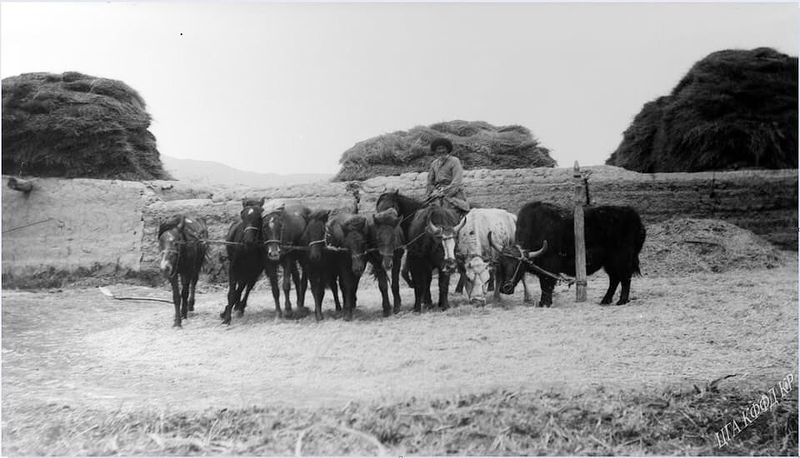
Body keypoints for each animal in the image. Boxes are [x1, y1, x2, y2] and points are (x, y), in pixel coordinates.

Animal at [495, 201, 646, 307]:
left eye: (517, 264)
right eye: (502, 264)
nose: (505, 288)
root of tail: (636, 218)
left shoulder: (550, 265)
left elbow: (546, 284)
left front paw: (545, 303)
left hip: (621, 259)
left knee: (625, 278)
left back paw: (622, 301)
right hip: (609, 263)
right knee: (614, 279)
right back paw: (605, 300)